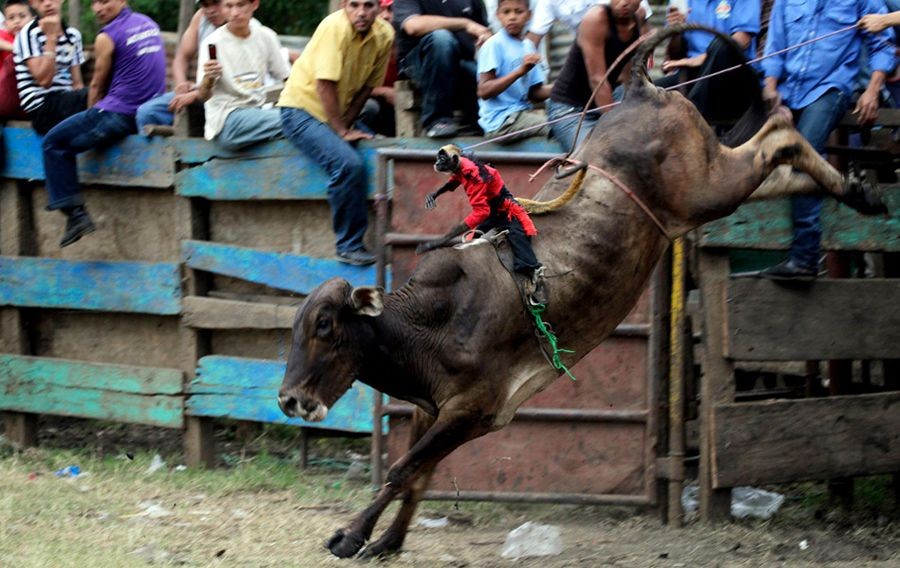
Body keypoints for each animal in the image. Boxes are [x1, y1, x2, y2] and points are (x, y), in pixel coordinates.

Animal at [274, 24, 884, 556]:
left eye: (325, 326)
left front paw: (350, 535)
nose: (288, 400)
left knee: (777, 133)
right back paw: (859, 191)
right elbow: (419, 474)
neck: (432, 321)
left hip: (707, 186)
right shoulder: (433, 410)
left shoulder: (471, 409)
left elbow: (404, 470)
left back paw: (853, 184)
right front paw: (389, 540)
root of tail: (638, 89)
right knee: (779, 163)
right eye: (294, 331)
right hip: (708, 191)